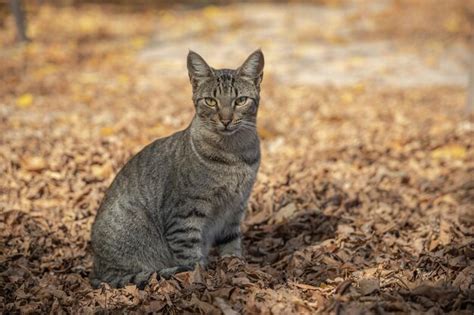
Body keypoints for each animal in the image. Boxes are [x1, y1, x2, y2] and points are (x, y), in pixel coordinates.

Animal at [90, 48, 264, 288]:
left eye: (240, 100)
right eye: (211, 101)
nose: (226, 119)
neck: (234, 153)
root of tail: (97, 272)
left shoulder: (235, 207)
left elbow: (231, 245)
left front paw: (236, 267)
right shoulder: (185, 214)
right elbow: (191, 258)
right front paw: (202, 279)